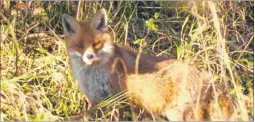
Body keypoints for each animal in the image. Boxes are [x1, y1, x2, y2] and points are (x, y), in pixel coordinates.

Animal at [61, 8, 231, 120]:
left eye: (96, 44)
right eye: (80, 46)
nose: (89, 56)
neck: (92, 76)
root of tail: (208, 77)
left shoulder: (117, 100)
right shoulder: (95, 101)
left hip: (180, 114)